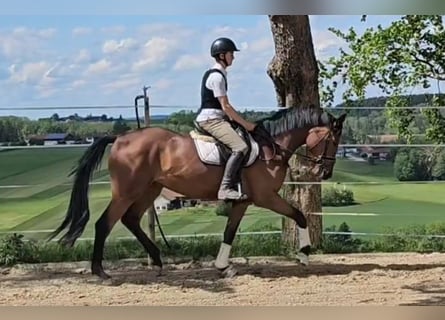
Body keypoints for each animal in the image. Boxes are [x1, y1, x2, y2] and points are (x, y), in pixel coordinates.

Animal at [49, 106, 346, 278]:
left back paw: (157, 260)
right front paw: (304, 254)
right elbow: (299, 215)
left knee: (130, 220)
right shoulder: (266, 197)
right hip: (127, 191)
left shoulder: (244, 201)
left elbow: (229, 232)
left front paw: (223, 266)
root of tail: (121, 138)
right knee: (105, 223)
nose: (326, 172)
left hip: (149, 189)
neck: (271, 147)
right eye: (333, 140)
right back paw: (99, 271)